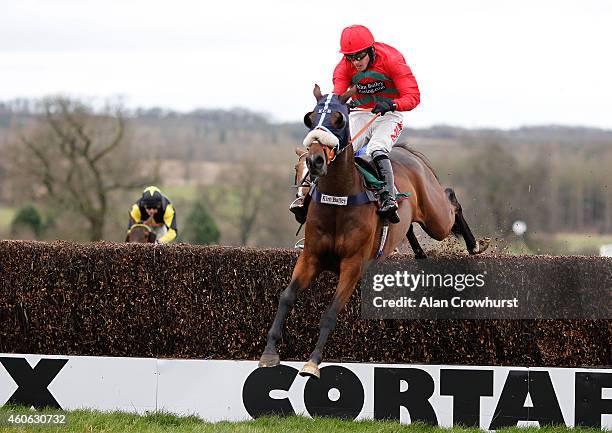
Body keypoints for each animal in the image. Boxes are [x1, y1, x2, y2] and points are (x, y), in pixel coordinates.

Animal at [258, 85, 488, 378]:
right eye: (310, 118)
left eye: (339, 119)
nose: (316, 160)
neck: (339, 200)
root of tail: (407, 155)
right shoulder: (310, 257)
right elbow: (286, 297)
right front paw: (269, 352)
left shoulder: (352, 265)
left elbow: (331, 312)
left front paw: (313, 361)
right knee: (409, 228)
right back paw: (420, 253)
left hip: (436, 217)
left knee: (451, 201)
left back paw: (474, 245)